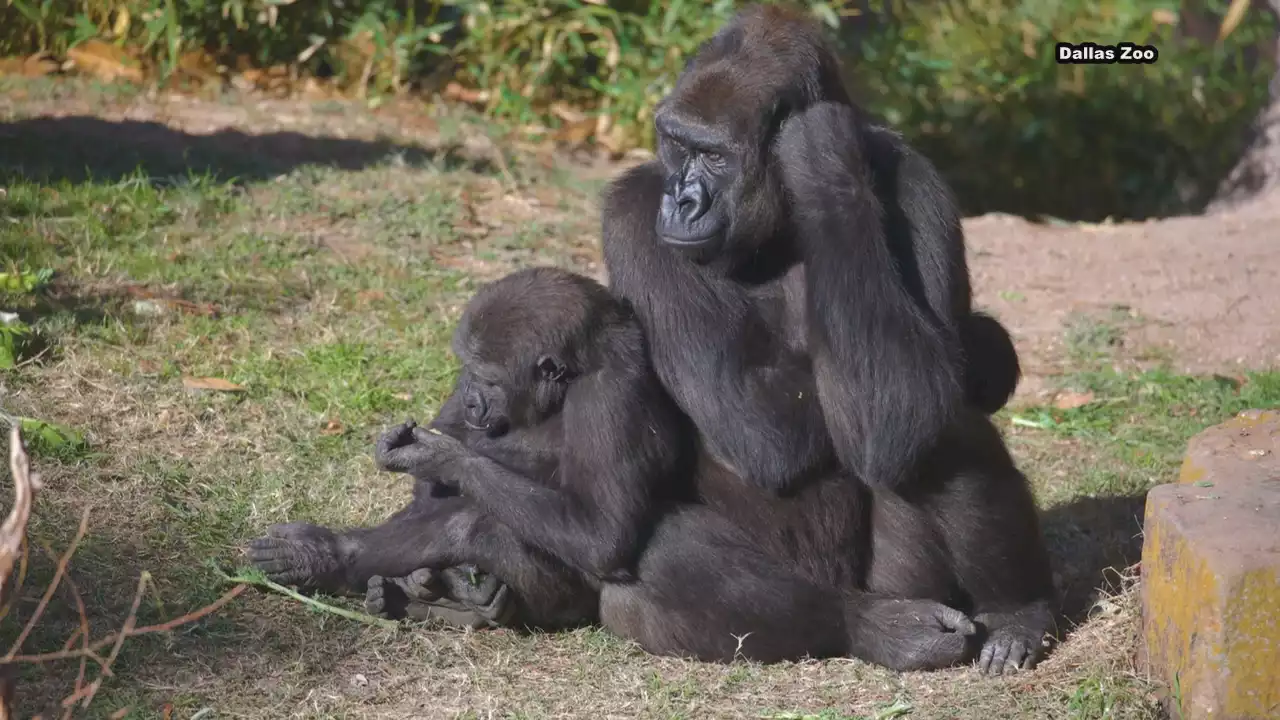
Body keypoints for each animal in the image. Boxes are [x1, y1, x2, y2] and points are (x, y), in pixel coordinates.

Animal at [254, 265, 983, 671]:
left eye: (486, 375)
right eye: (467, 371)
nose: (471, 398)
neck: (573, 375)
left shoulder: (612, 393)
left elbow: (599, 530)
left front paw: (443, 456)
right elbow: (432, 491)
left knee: (652, 545)